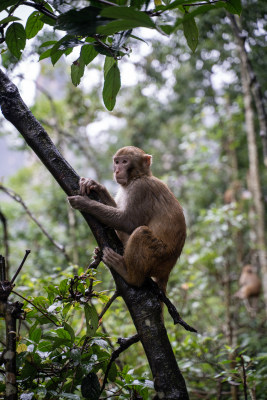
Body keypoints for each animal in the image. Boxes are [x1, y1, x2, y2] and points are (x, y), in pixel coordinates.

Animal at [68, 145, 187, 292]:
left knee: (141, 232)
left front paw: (84, 203)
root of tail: (167, 272)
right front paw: (95, 185)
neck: (138, 176)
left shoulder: (140, 189)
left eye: (125, 162)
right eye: (117, 162)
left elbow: (127, 222)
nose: (117, 170)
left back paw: (129, 275)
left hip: (159, 257)